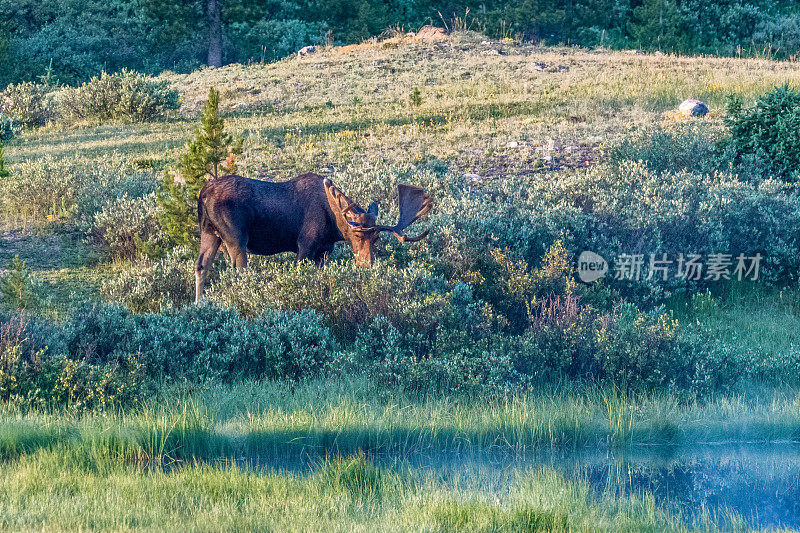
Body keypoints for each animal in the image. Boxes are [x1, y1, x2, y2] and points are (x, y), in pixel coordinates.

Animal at [194, 172, 432, 302]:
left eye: (376, 239)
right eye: (356, 234)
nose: (366, 264)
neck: (334, 226)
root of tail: (202, 193)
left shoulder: (323, 251)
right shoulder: (305, 246)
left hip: (209, 232)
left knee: (201, 265)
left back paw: (199, 304)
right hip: (236, 237)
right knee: (238, 270)